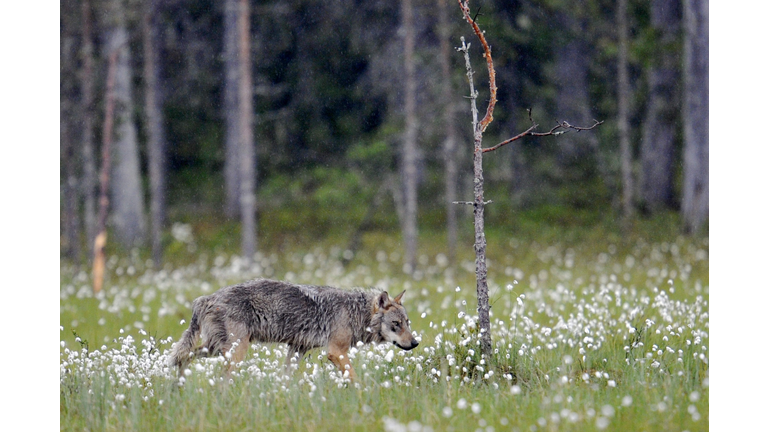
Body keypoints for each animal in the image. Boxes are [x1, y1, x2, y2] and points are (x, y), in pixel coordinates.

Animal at [169, 278, 420, 380]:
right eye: (396, 325)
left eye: (407, 323)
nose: (415, 343)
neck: (354, 311)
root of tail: (206, 298)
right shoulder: (336, 351)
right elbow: (355, 377)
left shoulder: (297, 348)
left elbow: (286, 376)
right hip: (235, 351)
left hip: (215, 348)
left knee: (184, 357)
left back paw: (179, 387)